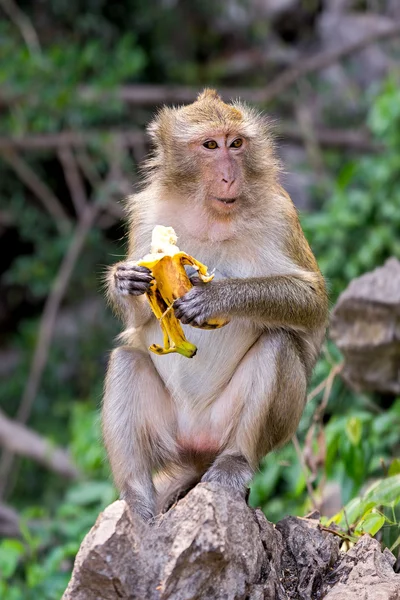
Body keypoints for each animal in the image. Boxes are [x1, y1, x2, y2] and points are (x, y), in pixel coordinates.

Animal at [102, 88, 328, 520]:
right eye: (210, 146)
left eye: (236, 144)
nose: (230, 175)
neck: (210, 212)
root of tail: (197, 447)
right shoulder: (147, 214)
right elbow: (136, 324)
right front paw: (126, 281)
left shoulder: (280, 213)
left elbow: (313, 302)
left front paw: (215, 294)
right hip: (169, 435)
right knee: (126, 361)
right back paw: (137, 502)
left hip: (238, 427)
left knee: (277, 345)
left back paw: (234, 464)